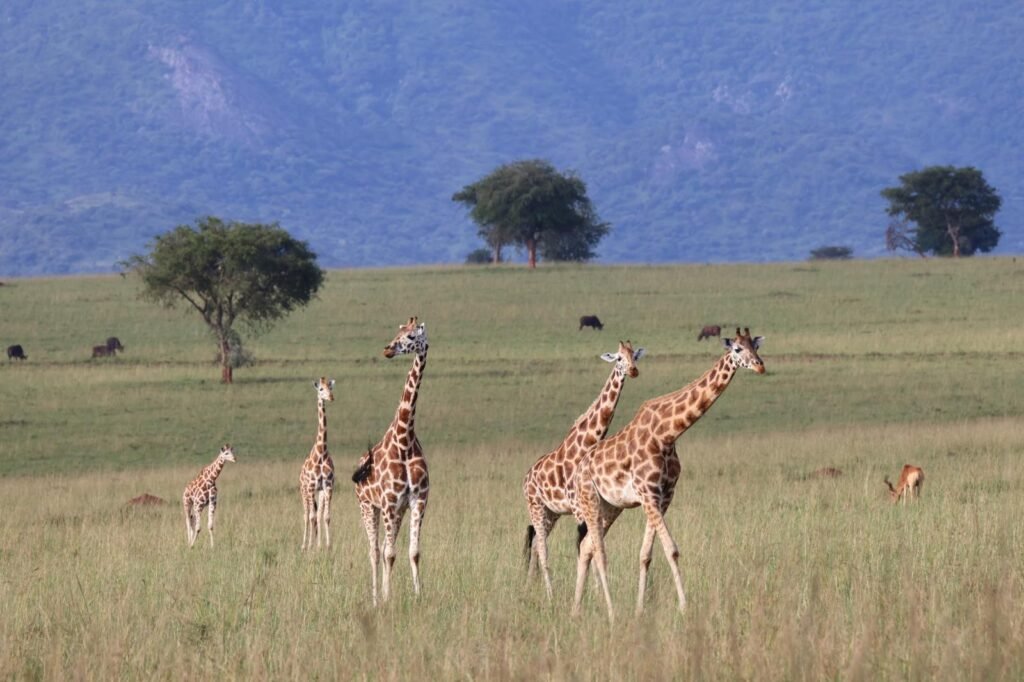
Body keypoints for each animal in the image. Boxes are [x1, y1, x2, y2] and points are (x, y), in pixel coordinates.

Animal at [352, 317, 430, 606]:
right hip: (368, 506)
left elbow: (413, 552)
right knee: (375, 551)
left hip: (397, 512)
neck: (404, 441)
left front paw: (418, 596)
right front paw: (386, 598)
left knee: (385, 547)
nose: (387, 349)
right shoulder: (387, 502)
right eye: (398, 333)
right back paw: (376, 597)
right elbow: (388, 554)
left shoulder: (417, 500)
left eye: (411, 337)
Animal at [523, 340, 645, 600]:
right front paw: (591, 595)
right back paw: (549, 595)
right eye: (619, 358)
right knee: (542, 547)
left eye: (635, 355)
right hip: (535, 506)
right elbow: (586, 548)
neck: (588, 441)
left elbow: (592, 546)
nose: (633, 370)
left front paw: (595, 594)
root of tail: (526, 477)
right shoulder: (580, 509)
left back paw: (530, 587)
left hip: (552, 512)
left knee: (537, 542)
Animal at [570, 328, 766, 620]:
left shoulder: (663, 496)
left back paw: (575, 609)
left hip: (612, 506)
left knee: (586, 548)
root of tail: (580, 467)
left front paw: (640, 609)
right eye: (737, 349)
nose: (760, 365)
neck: (668, 433)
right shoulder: (648, 493)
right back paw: (611, 612)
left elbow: (646, 554)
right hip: (589, 499)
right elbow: (671, 550)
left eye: (755, 345)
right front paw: (684, 607)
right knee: (599, 552)